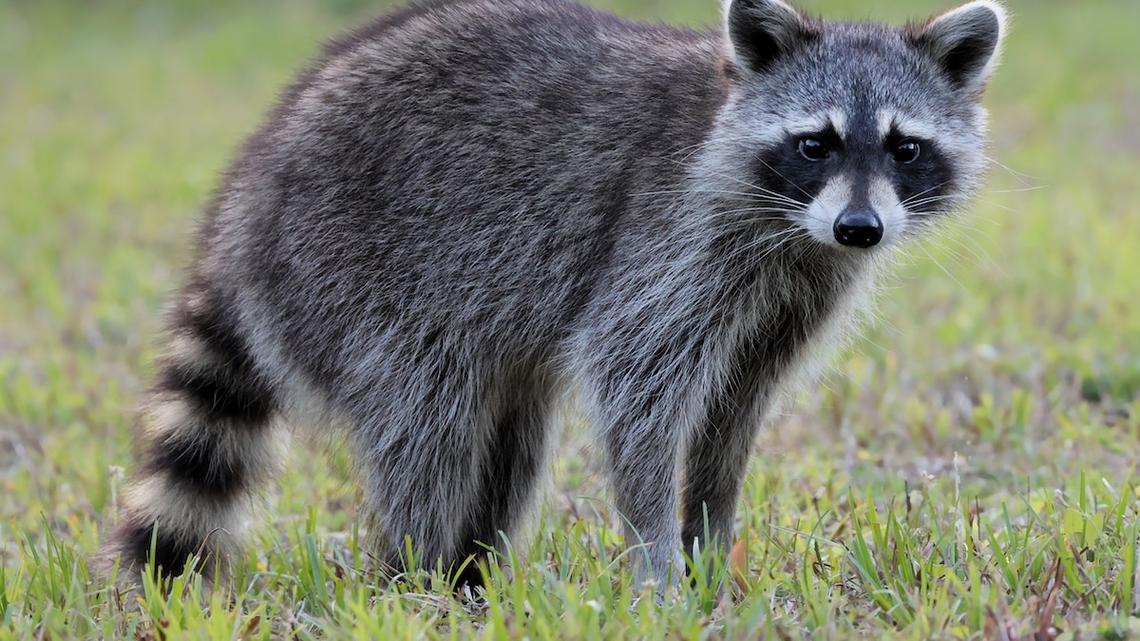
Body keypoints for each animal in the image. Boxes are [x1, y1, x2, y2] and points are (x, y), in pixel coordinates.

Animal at [97, 0, 1007, 588]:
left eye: (905, 147)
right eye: (815, 143)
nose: (861, 228)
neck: (793, 226)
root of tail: (245, 198)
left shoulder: (795, 289)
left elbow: (733, 414)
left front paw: (710, 547)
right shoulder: (668, 242)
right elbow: (638, 392)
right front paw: (656, 565)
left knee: (511, 437)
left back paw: (474, 573)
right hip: (353, 273)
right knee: (426, 425)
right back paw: (414, 574)